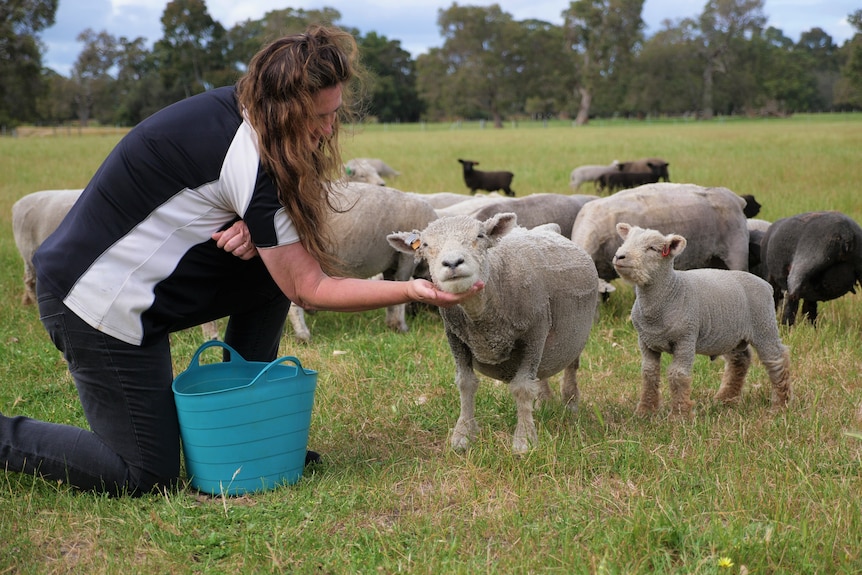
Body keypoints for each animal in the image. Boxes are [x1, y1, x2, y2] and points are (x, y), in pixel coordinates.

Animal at [388, 213, 596, 454]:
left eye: (480, 236)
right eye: (425, 245)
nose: (452, 263)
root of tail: (547, 228)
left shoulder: (534, 333)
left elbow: (522, 387)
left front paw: (524, 440)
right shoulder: (455, 337)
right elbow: (466, 383)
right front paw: (463, 435)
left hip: (573, 336)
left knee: (571, 366)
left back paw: (571, 403)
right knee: (543, 370)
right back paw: (543, 403)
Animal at [612, 223, 792, 416]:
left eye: (652, 248)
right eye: (625, 241)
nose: (619, 256)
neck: (671, 292)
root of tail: (765, 284)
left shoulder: (685, 338)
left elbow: (678, 374)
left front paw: (679, 414)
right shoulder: (646, 341)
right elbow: (649, 373)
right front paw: (645, 411)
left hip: (764, 325)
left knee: (777, 359)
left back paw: (781, 405)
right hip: (730, 334)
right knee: (740, 361)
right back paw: (726, 398)